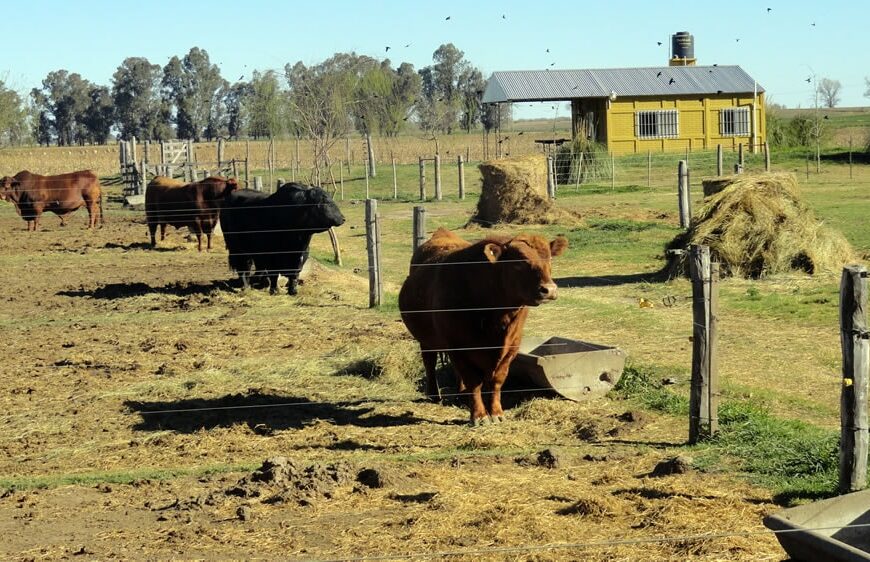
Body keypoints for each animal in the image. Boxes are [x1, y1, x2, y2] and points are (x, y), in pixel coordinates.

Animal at [398, 225, 568, 422]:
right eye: (518, 262)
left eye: (549, 259)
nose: (549, 289)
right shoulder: (457, 346)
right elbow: (473, 380)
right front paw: (479, 416)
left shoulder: (512, 345)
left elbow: (497, 380)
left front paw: (496, 413)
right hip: (426, 339)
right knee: (430, 362)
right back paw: (434, 394)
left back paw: (461, 394)